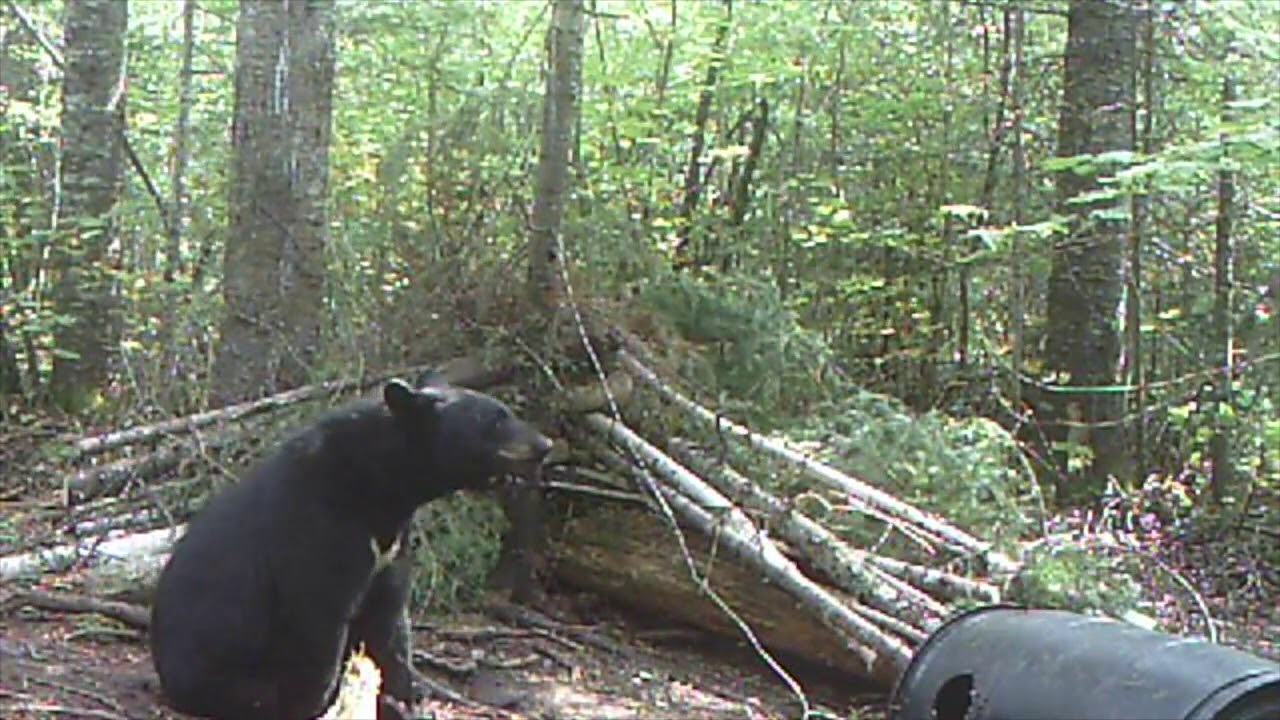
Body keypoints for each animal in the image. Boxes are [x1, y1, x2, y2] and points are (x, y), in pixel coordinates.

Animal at [149, 378, 553, 720]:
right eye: (496, 418)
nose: (545, 445)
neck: (379, 491)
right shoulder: (320, 529)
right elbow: (318, 618)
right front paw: (315, 704)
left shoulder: (391, 548)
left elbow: (390, 623)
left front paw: (401, 702)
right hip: (216, 664)